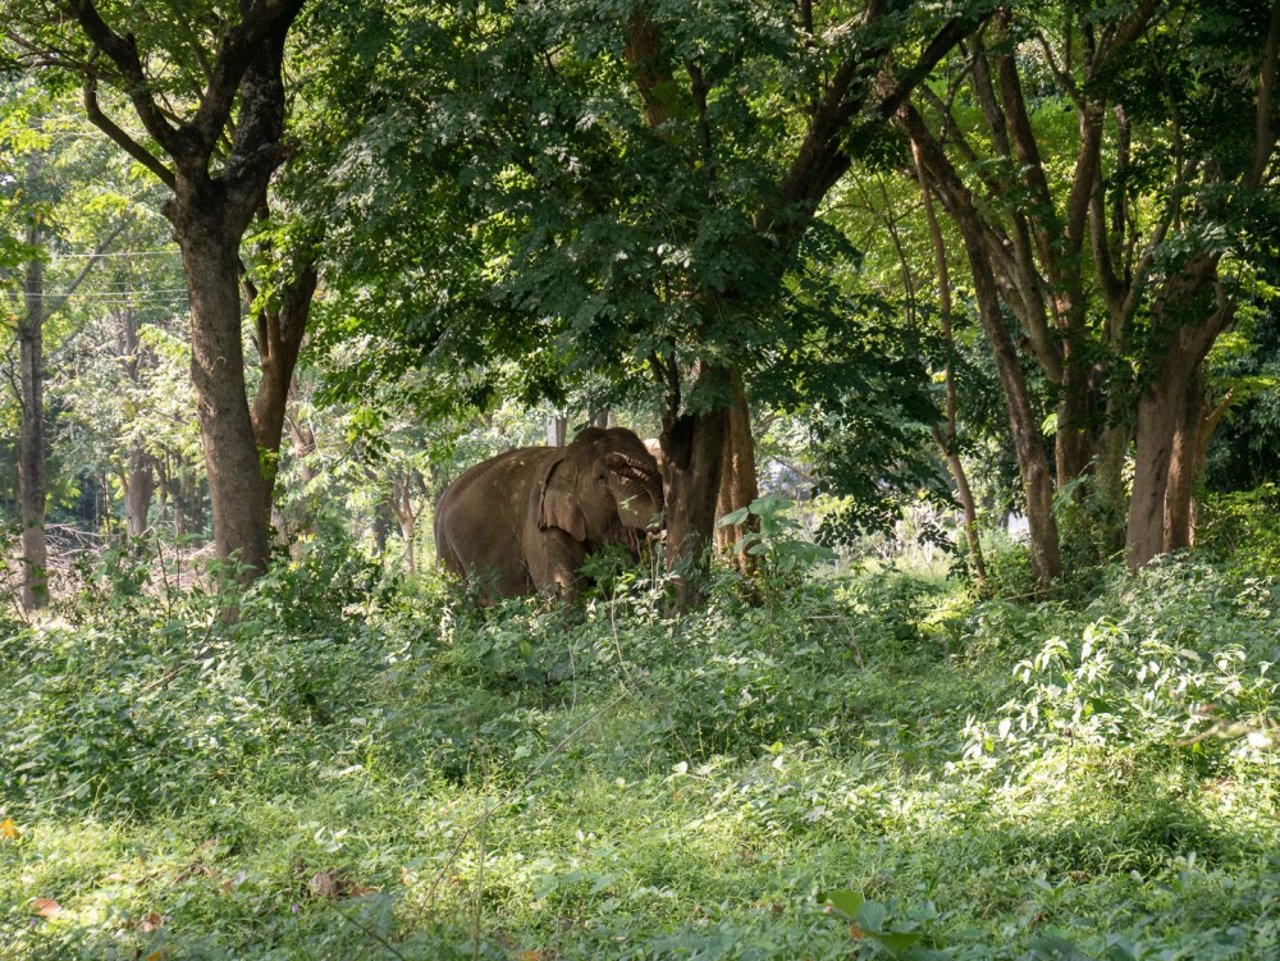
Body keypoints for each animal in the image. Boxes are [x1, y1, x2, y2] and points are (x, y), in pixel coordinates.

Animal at [435, 424, 665, 598]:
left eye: (656, 464)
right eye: (600, 478)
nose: (615, 458)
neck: (565, 455)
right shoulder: (539, 523)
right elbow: (562, 591)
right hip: (448, 555)